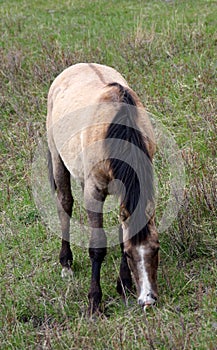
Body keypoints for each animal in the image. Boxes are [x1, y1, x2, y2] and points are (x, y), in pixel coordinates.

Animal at [46, 62, 159, 314]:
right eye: (129, 255)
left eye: (156, 249)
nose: (148, 300)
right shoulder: (94, 192)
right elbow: (97, 247)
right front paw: (94, 302)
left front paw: (124, 285)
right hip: (57, 159)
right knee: (65, 204)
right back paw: (66, 263)